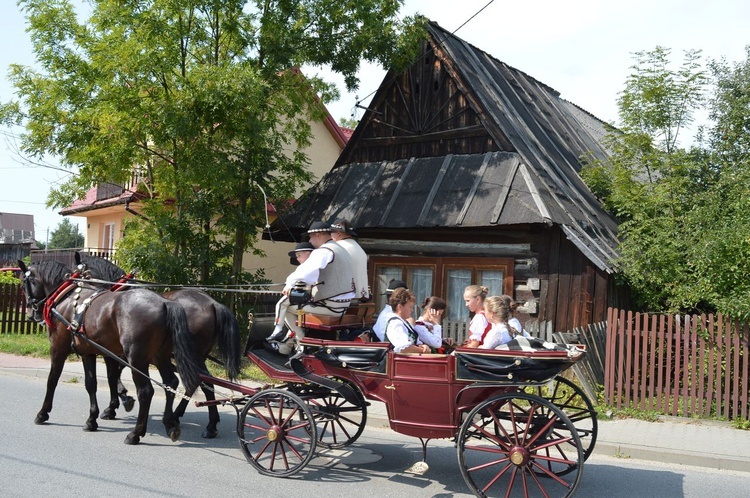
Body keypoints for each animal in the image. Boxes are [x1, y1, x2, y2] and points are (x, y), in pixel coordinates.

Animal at [19, 258, 203, 446]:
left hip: (137, 359)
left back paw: (136, 433)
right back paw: (170, 424)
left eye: (23, 284)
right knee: (170, 383)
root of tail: (164, 303)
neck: (66, 298)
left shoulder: (58, 348)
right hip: (160, 356)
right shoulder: (88, 352)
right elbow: (92, 384)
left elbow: (52, 380)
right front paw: (92, 419)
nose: (30, 314)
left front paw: (43, 413)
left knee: (146, 391)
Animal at [76, 255, 241, 438]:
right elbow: (115, 375)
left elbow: (113, 376)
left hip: (194, 356)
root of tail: (213, 303)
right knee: (198, 383)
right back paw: (188, 419)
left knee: (201, 383)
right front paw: (121, 400)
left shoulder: (118, 353)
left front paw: (117, 404)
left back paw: (198, 422)